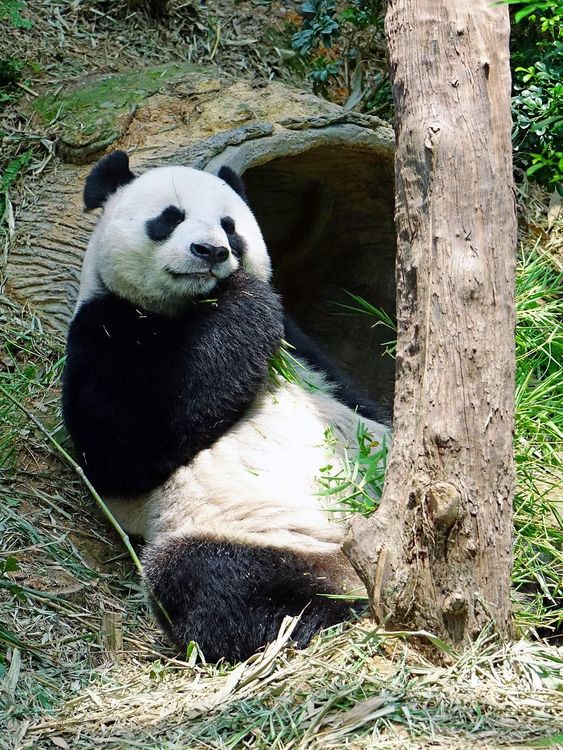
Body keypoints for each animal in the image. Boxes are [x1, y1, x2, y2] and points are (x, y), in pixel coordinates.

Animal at [62, 150, 391, 663]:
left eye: (230, 225)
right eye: (169, 218)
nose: (212, 252)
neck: (189, 308)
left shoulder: (302, 348)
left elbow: (353, 396)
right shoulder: (101, 332)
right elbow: (123, 447)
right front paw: (242, 300)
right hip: (238, 526)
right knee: (222, 581)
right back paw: (324, 611)